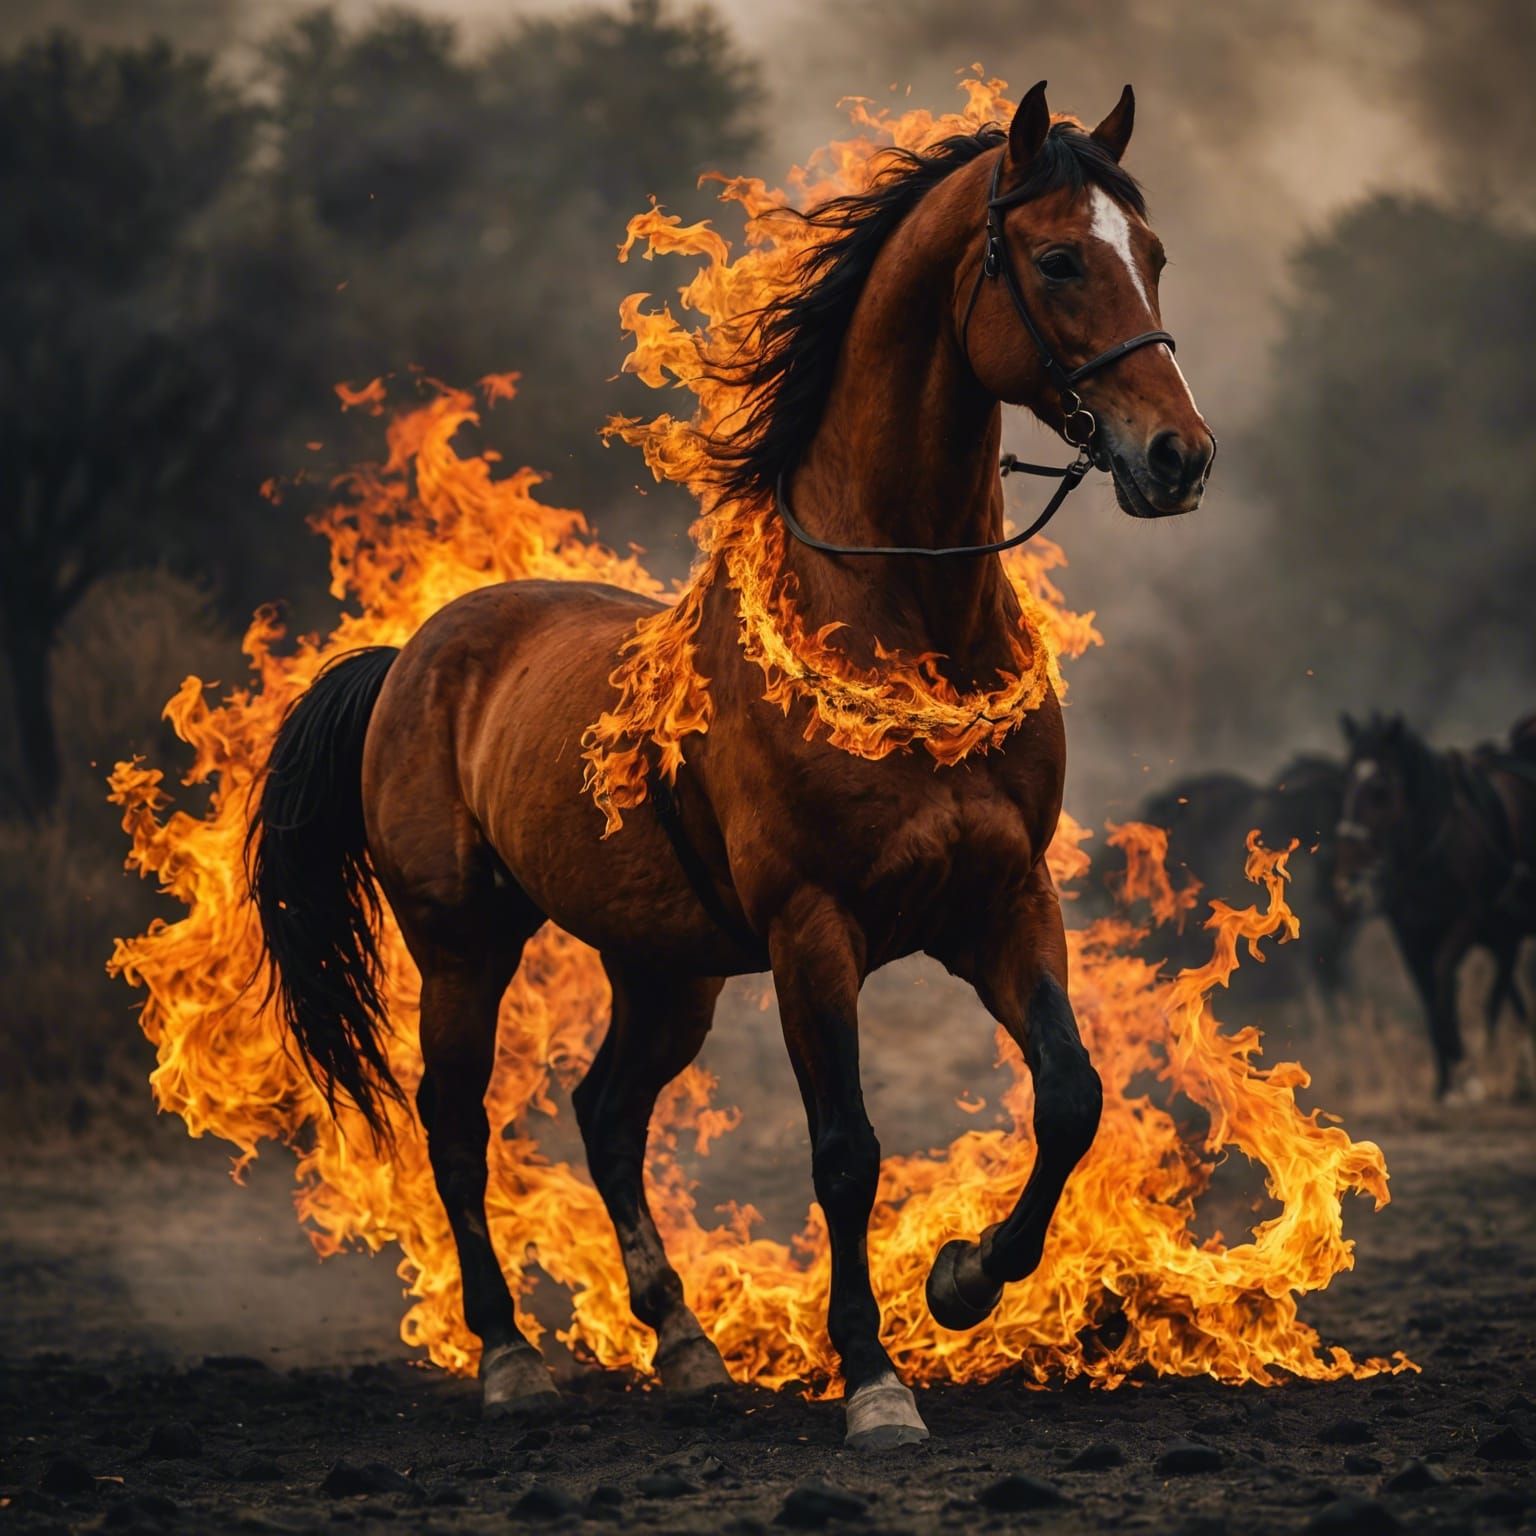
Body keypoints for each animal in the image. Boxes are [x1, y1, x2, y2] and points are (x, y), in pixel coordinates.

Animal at [248, 82, 1213, 1450]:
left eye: (1156, 254)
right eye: (1062, 259)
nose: (1179, 456)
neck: (907, 621)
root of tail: (410, 658)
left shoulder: (1005, 903)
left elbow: (1070, 1096)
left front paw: (965, 1280)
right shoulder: (816, 932)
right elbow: (846, 1152)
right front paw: (875, 1381)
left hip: (668, 970)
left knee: (606, 1114)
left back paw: (688, 1343)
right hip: (463, 943)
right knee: (457, 1122)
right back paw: (509, 1355)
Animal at [1335, 712, 1536, 1098]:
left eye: (1380, 788)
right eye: (1347, 779)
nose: (1349, 868)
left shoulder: (1466, 921)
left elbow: (1443, 978)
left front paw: (1467, 1072)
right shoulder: (1409, 934)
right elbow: (1428, 993)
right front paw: (1445, 1082)